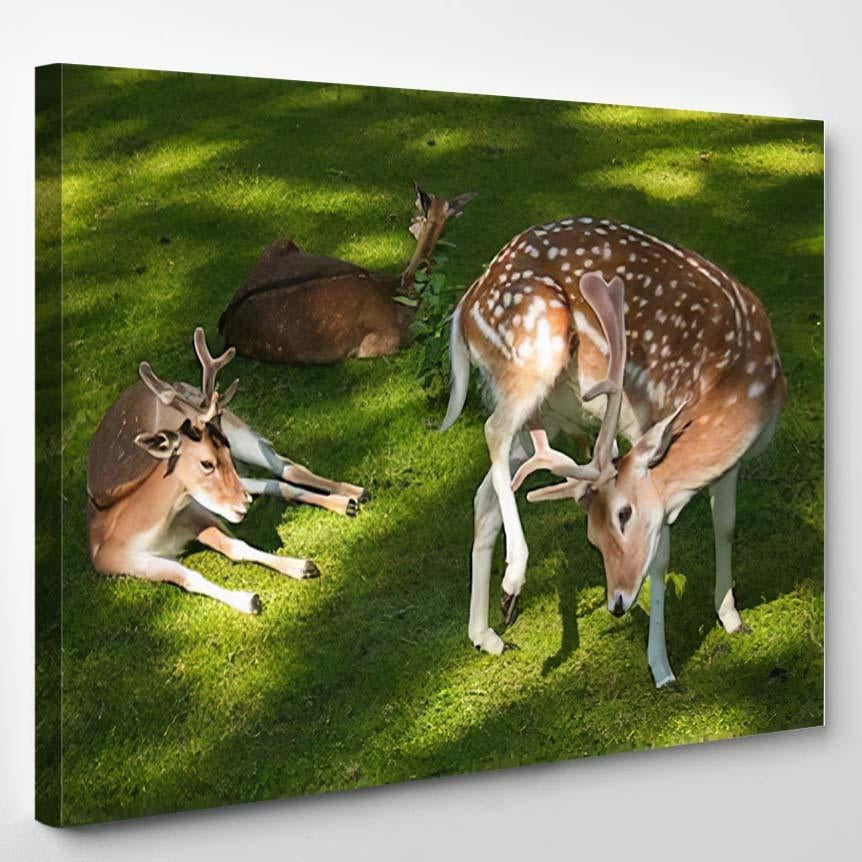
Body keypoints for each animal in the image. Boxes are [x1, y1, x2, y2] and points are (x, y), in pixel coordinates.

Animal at [87, 328, 368, 612]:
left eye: (225, 449)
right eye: (206, 463)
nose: (243, 503)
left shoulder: (195, 510)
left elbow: (237, 547)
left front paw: (302, 566)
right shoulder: (121, 560)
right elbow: (189, 577)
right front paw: (250, 599)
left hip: (243, 437)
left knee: (285, 466)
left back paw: (355, 492)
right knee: (277, 481)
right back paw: (347, 501)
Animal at [441, 216, 786, 686]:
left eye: (621, 517)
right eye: (592, 539)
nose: (617, 604)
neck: (739, 388)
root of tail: (466, 305)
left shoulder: (730, 465)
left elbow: (726, 526)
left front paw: (731, 617)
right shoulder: (651, 420)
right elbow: (661, 557)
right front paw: (662, 668)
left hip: (544, 412)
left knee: (486, 495)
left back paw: (487, 634)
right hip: (531, 352)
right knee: (493, 432)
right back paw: (514, 577)